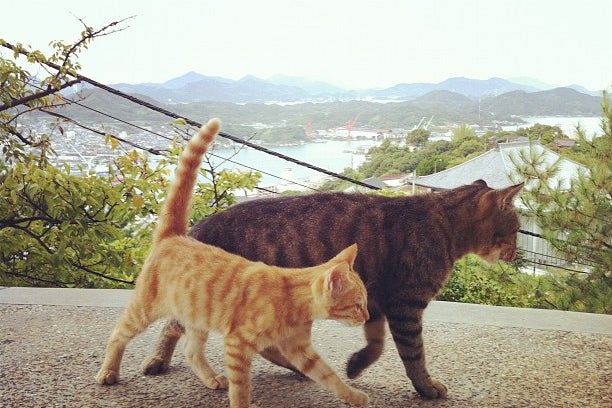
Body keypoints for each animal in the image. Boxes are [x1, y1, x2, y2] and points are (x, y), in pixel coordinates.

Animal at [95, 118, 368, 408]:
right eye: (357, 304)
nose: (367, 317)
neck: (291, 299)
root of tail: (174, 236)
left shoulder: (300, 350)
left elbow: (329, 375)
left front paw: (353, 396)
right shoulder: (237, 345)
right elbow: (241, 388)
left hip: (197, 316)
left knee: (191, 350)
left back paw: (210, 378)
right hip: (144, 310)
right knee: (118, 334)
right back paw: (108, 371)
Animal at [142, 175, 520, 398]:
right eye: (516, 229)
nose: (516, 253)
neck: (445, 222)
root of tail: (192, 230)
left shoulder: (376, 302)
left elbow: (376, 344)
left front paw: (356, 364)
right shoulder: (405, 305)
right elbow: (414, 354)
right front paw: (426, 387)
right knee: (173, 326)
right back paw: (157, 360)